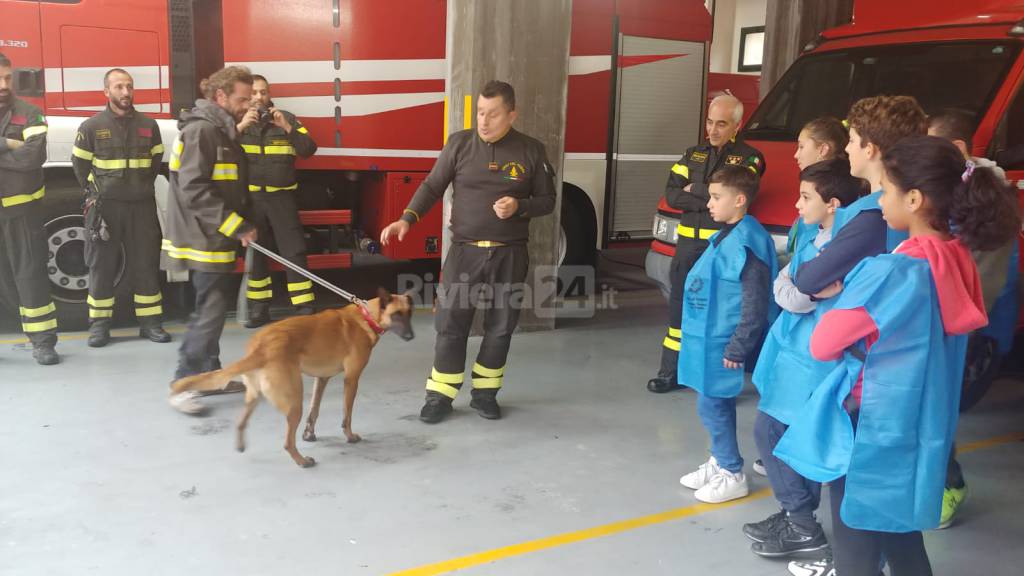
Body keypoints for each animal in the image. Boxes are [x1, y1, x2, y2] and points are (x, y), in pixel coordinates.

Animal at [167, 286, 411, 467]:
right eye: (396, 315)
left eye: (409, 315)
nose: (411, 336)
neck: (366, 316)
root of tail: (260, 348)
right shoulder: (351, 380)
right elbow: (347, 415)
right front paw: (349, 437)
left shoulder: (322, 379)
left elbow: (315, 410)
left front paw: (309, 434)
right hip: (294, 403)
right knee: (287, 442)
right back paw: (302, 461)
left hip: (256, 397)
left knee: (241, 422)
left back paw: (241, 444)